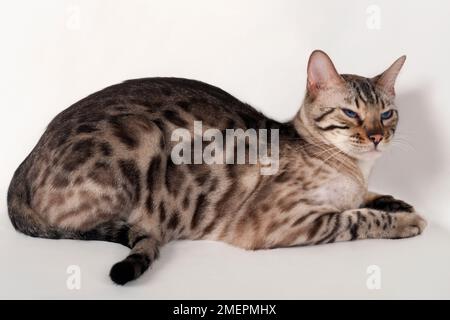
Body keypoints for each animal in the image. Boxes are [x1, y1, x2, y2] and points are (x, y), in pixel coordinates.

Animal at [8, 50, 428, 284]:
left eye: (387, 114)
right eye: (350, 113)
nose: (377, 137)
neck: (356, 170)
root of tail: (23, 164)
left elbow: (369, 199)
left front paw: (398, 203)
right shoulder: (283, 222)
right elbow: (356, 218)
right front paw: (405, 221)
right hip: (142, 135)